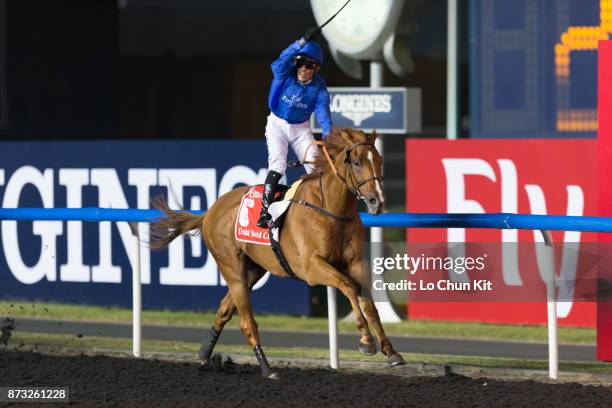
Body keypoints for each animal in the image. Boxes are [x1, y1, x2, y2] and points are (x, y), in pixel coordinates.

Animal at [150, 128, 404, 380]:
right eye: (357, 161)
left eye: (379, 160)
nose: (377, 201)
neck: (331, 209)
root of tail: (211, 210)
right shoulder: (312, 267)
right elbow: (349, 286)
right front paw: (366, 340)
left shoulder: (355, 262)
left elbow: (369, 302)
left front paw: (391, 351)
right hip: (231, 268)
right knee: (247, 322)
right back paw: (267, 368)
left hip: (253, 271)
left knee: (224, 309)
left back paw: (205, 354)